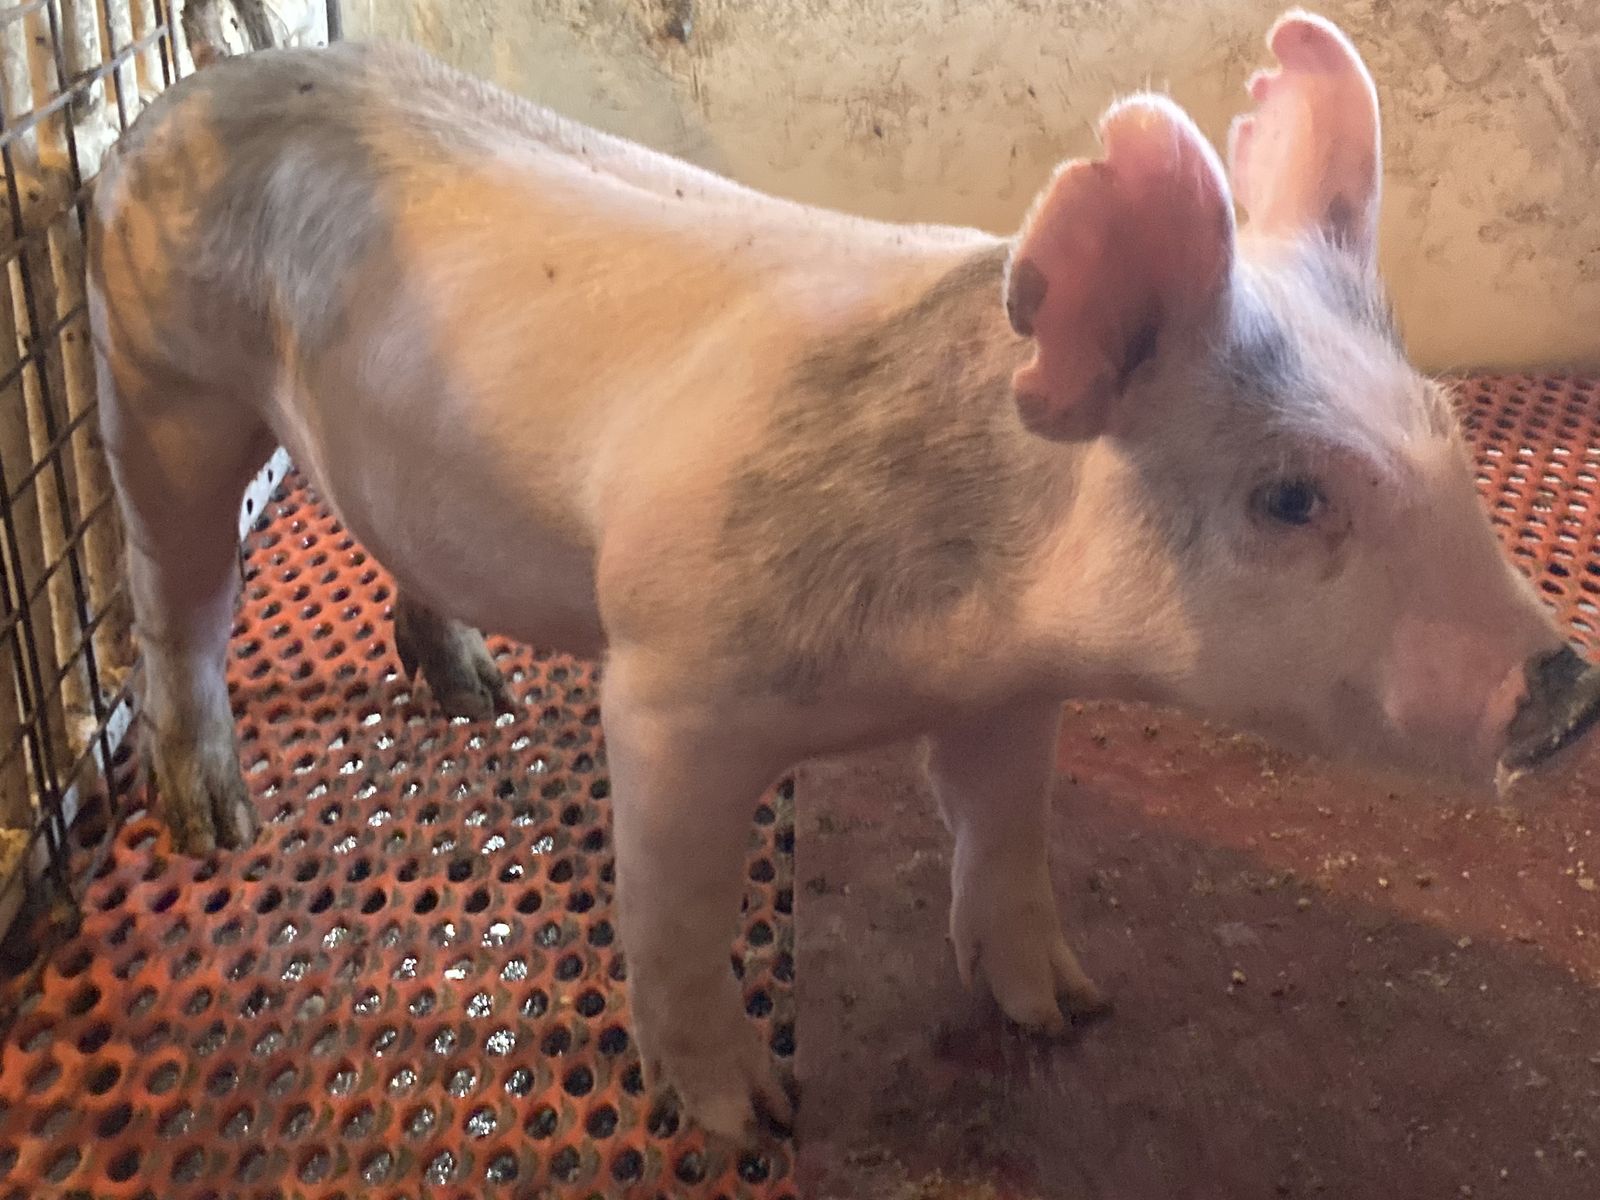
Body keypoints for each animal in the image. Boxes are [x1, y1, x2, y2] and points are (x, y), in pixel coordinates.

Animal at [87, 8, 1600, 1142]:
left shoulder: (1010, 697)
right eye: (1289, 497)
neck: (948, 640)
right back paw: (212, 823)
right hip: (157, 386)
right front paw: (746, 1117)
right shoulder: (671, 690)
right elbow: (676, 908)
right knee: (179, 601)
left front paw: (1070, 1009)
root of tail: (191, 91)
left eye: (1444, 426)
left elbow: (1003, 836)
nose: (1568, 688)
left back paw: (477, 696)